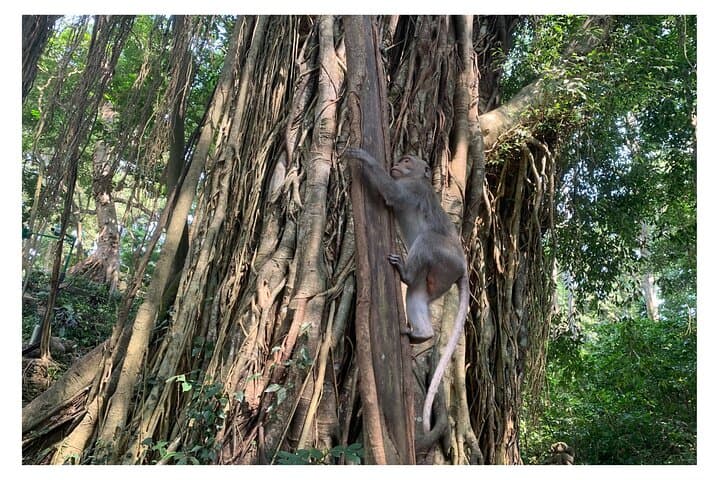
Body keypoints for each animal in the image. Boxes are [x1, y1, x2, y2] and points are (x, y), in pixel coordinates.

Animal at [345, 147, 469, 434]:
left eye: (406, 161)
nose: (396, 164)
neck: (417, 179)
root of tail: (463, 267)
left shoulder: (413, 189)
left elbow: (392, 193)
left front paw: (365, 159)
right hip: (441, 278)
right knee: (416, 295)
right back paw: (423, 334)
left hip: (446, 258)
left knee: (427, 240)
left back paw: (406, 273)